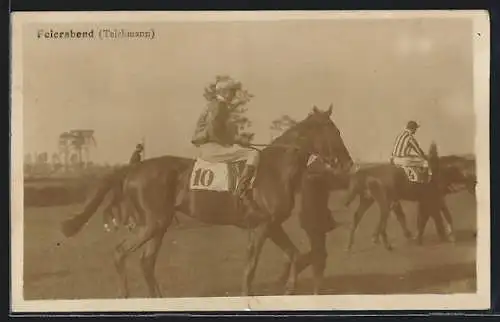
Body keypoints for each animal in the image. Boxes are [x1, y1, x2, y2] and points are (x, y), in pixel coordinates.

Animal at [59, 105, 352, 296]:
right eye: (333, 131)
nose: (347, 163)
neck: (274, 169)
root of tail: (133, 168)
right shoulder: (261, 227)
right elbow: (251, 268)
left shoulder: (271, 225)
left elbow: (294, 254)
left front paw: (290, 286)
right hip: (153, 223)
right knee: (121, 254)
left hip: (158, 224)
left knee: (146, 262)